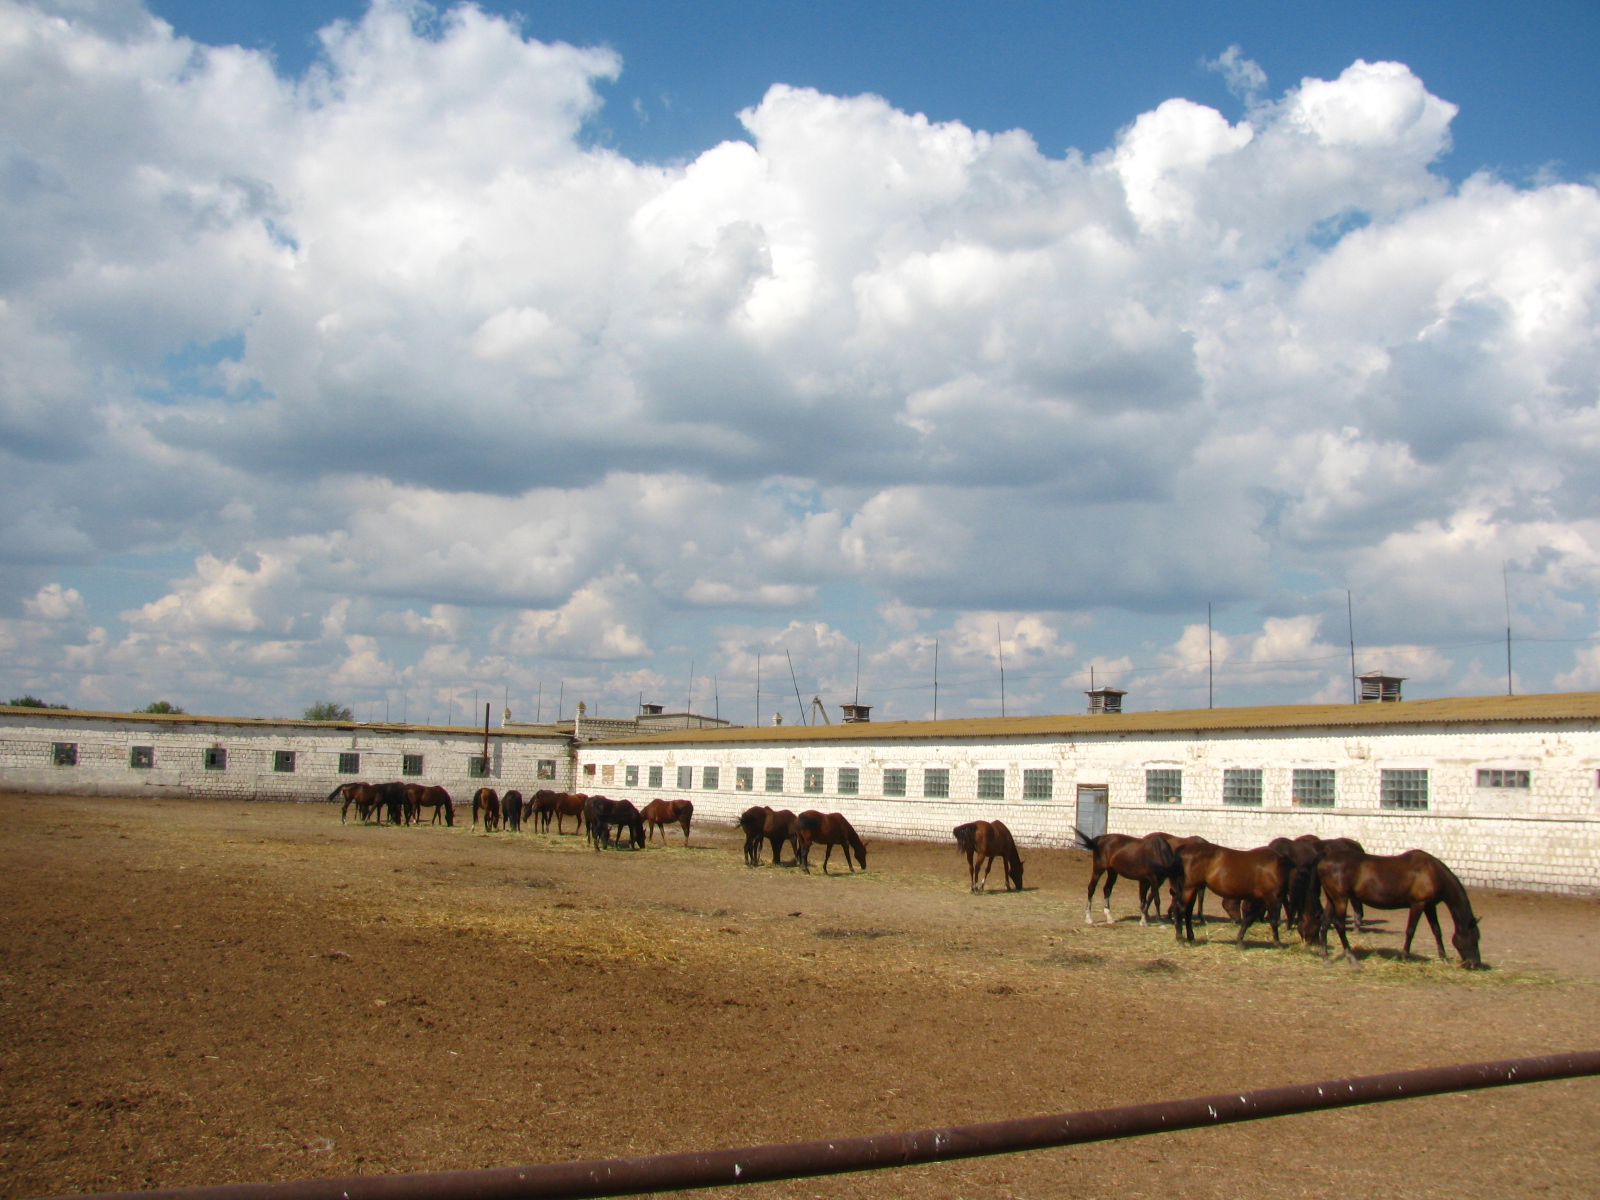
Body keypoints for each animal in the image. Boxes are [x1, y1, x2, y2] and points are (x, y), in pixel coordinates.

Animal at [1305, 844, 1478, 966]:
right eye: (1474, 938)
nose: (1474, 964)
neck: (1430, 871)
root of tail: (1326, 856)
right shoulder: (1418, 904)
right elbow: (1410, 930)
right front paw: (1405, 956)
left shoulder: (1429, 906)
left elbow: (1437, 931)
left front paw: (1443, 957)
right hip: (1341, 899)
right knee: (1339, 925)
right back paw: (1352, 959)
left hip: (1332, 898)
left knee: (1325, 923)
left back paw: (1326, 958)